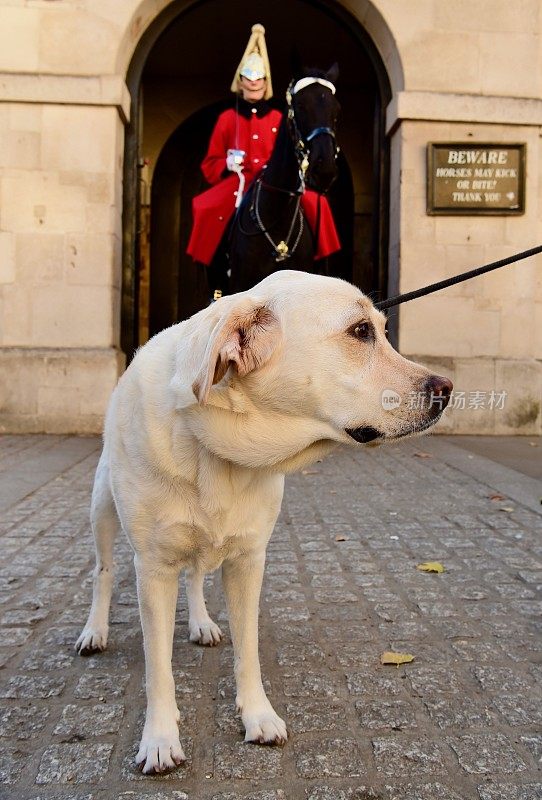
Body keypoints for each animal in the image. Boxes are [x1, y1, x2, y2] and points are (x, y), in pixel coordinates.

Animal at [75, 270, 450, 776]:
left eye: (382, 330)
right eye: (360, 332)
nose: (447, 388)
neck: (220, 450)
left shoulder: (249, 561)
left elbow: (247, 650)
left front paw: (257, 715)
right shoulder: (152, 569)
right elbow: (159, 669)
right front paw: (159, 738)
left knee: (195, 575)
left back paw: (201, 623)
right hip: (102, 509)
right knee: (103, 571)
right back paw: (95, 631)